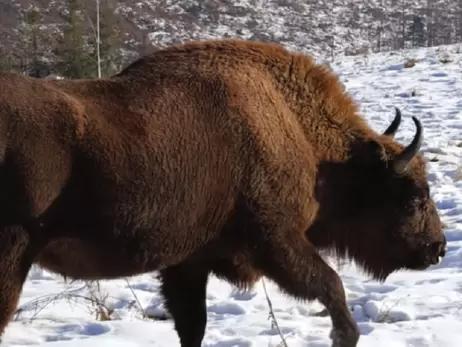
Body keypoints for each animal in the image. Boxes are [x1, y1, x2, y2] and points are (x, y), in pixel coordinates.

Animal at [0, 39, 446, 347]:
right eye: (413, 197)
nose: (438, 247)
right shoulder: (275, 241)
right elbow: (331, 285)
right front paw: (344, 335)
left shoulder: (187, 262)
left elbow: (192, 326)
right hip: (14, 254)